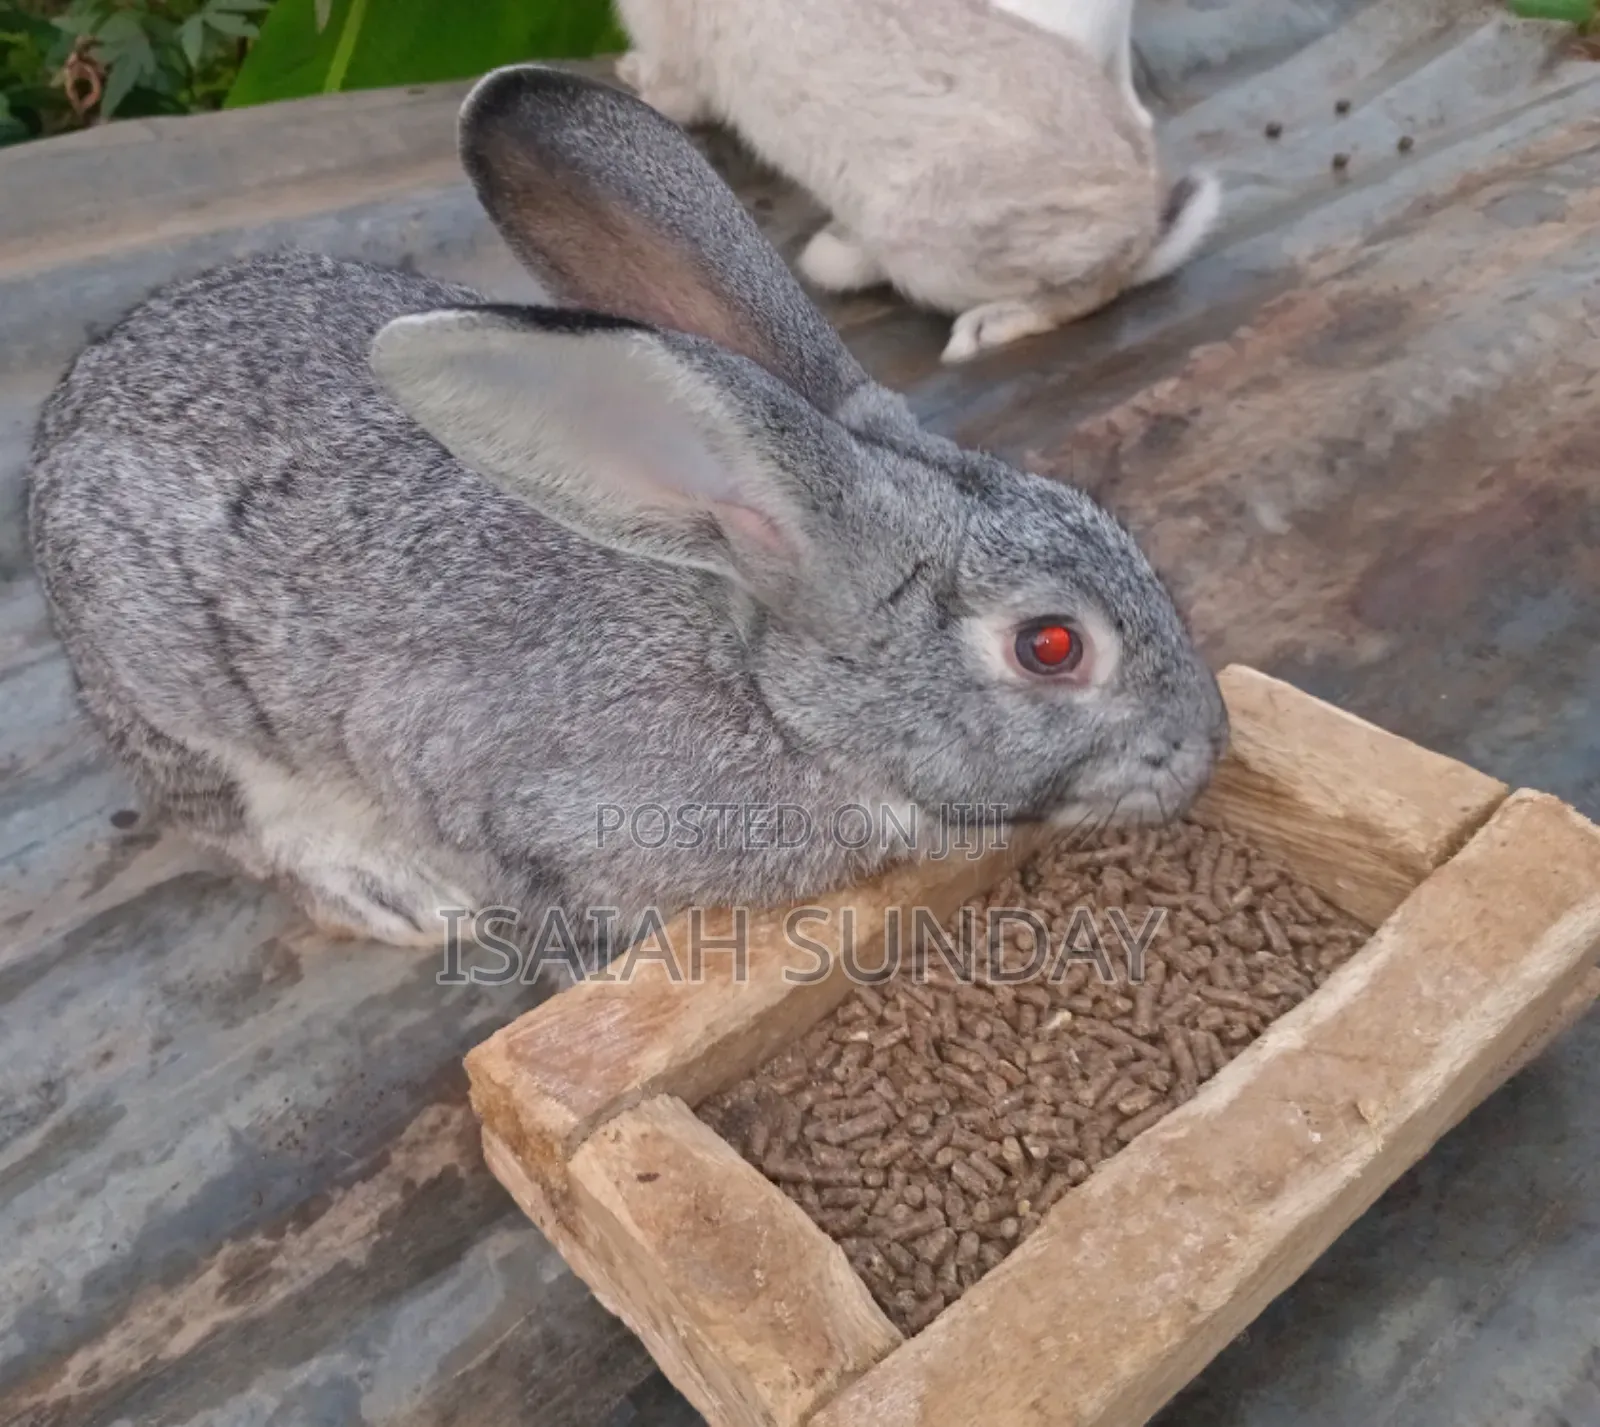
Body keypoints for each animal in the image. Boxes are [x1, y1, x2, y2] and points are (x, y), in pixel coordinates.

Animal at [27, 66, 1227, 965]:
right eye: (1051, 645)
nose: (1206, 747)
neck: (772, 693)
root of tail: (61, 429)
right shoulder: (520, 816)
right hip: (194, 717)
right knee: (254, 831)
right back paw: (398, 899)